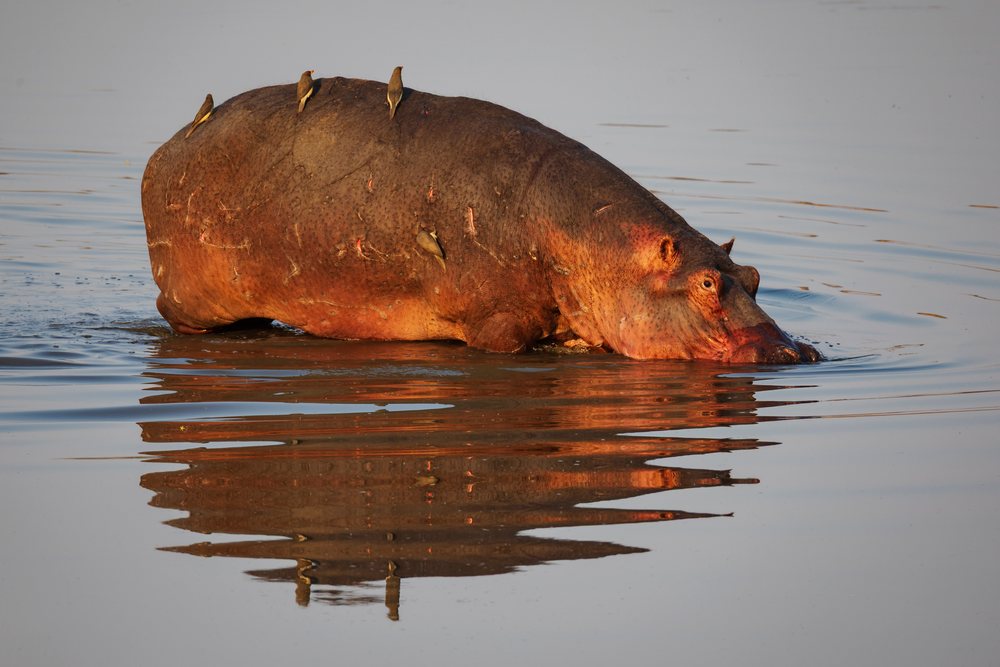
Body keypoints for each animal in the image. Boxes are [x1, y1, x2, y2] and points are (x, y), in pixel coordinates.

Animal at [141, 76, 819, 363]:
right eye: (705, 284)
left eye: (754, 277)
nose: (794, 352)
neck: (596, 246)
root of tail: (164, 147)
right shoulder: (498, 323)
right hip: (194, 296)